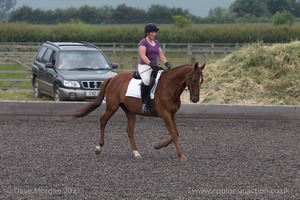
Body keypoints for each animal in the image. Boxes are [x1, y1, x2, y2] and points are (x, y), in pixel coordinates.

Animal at [74, 61, 206, 160]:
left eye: (201, 81)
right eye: (194, 80)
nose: (195, 99)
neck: (170, 87)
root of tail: (113, 78)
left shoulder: (172, 114)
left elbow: (176, 133)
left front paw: (158, 146)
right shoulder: (165, 114)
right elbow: (173, 133)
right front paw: (180, 155)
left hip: (130, 111)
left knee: (129, 130)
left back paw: (136, 152)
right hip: (112, 107)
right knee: (103, 121)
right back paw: (99, 147)